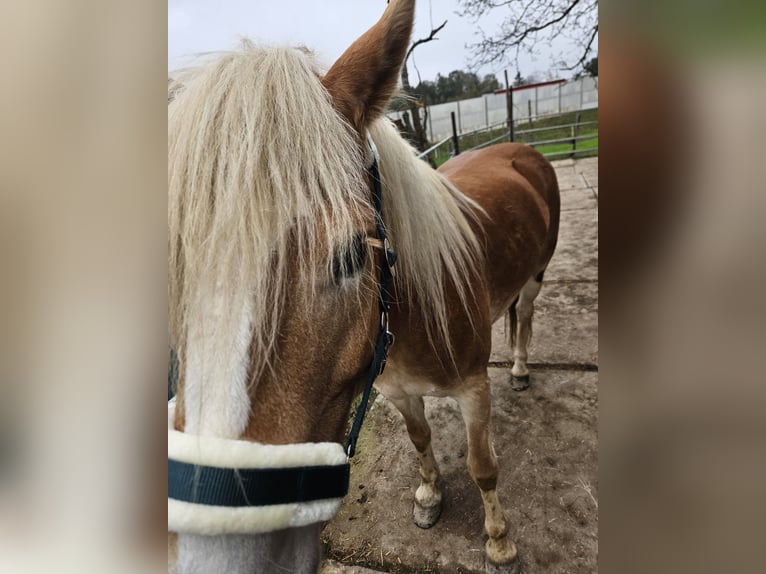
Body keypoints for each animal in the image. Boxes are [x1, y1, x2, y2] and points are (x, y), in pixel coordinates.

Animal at [168, 2, 560, 572]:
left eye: (353, 254)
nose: (214, 555)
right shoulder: (396, 391)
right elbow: (420, 440)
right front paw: (429, 496)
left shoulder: (473, 389)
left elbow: (483, 466)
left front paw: (498, 539)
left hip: (535, 278)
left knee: (525, 317)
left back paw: (523, 369)